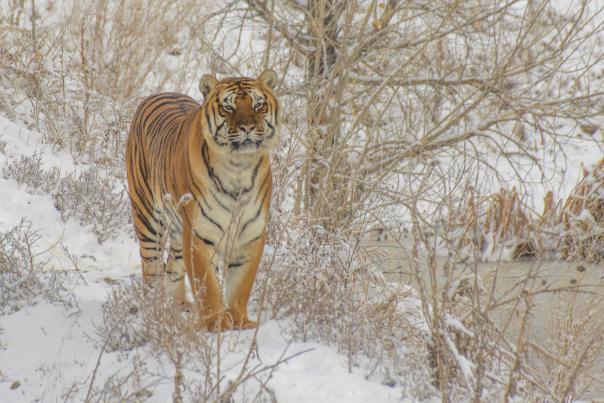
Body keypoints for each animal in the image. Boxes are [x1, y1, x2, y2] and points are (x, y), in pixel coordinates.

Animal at [127, 70, 280, 332]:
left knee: (174, 266)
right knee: (152, 268)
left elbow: (241, 284)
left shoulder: (251, 234)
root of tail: (159, 93)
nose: (248, 127)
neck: (239, 166)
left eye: (258, 105)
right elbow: (207, 284)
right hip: (147, 217)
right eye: (228, 107)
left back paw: (179, 306)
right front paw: (215, 323)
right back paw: (154, 310)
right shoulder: (200, 233)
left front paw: (240, 321)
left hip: (179, 231)